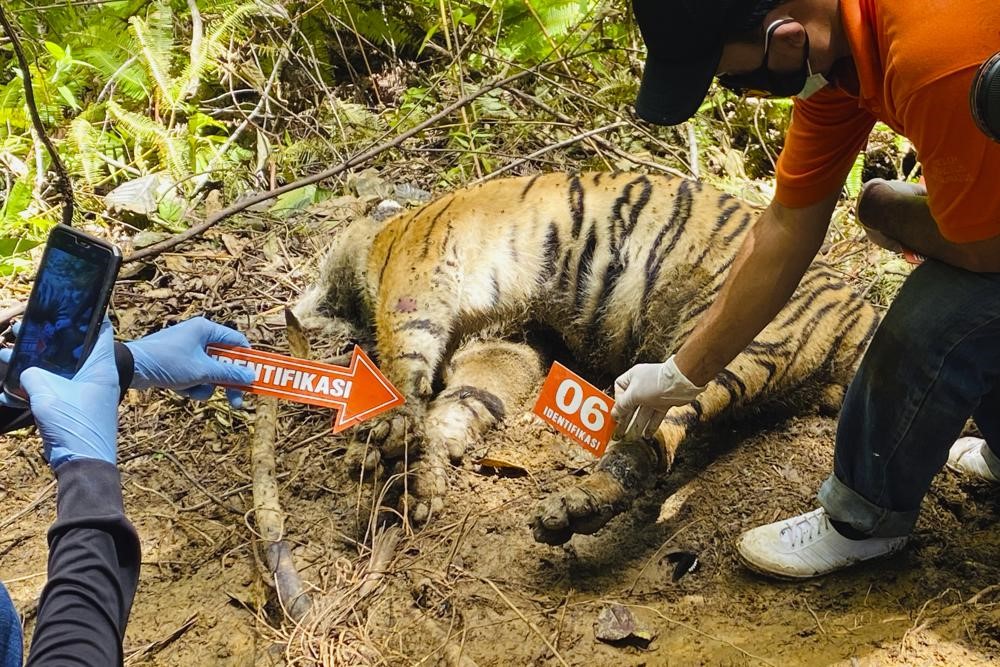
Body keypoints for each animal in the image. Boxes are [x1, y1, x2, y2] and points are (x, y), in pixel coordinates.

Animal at [290, 171, 876, 544]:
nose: (305, 306)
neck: (388, 234)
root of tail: (864, 312)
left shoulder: (419, 276)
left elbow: (403, 365)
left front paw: (383, 442)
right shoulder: (508, 343)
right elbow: (463, 402)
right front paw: (420, 474)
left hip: (725, 341)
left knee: (652, 442)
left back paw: (574, 509)